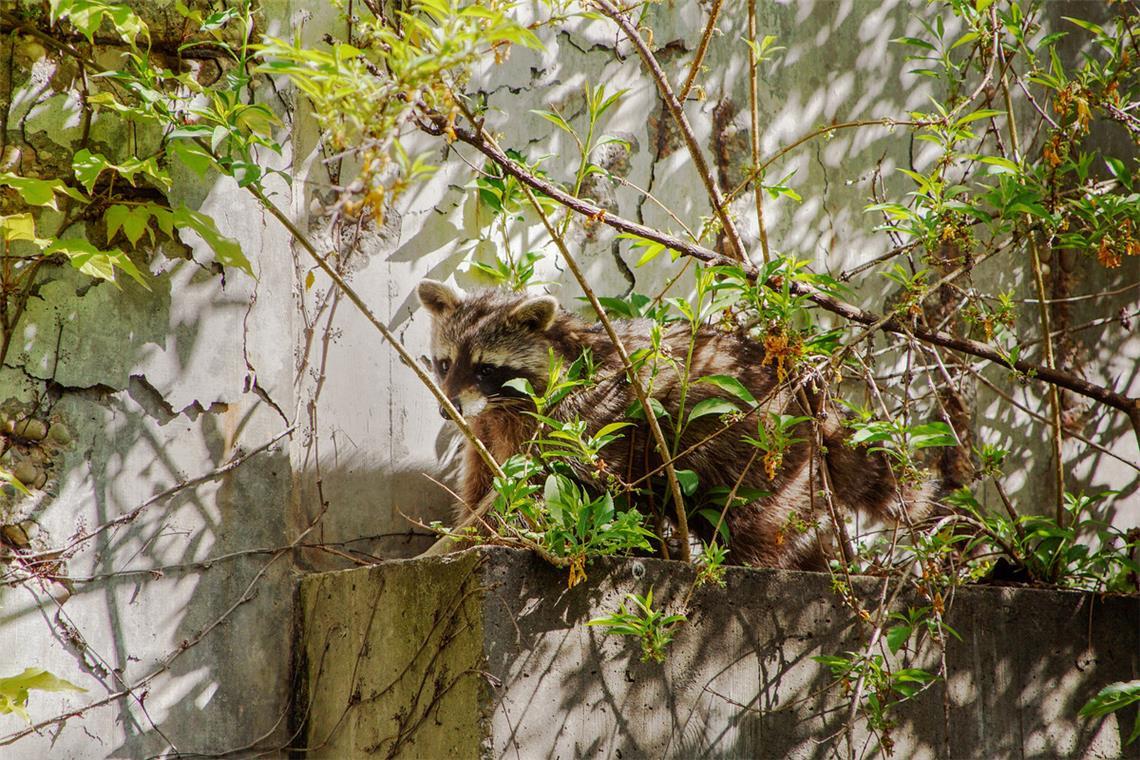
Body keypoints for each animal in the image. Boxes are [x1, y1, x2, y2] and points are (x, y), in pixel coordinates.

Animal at [414, 281, 930, 569]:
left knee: (756, 519)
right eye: (444, 364)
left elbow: (532, 488)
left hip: (758, 445)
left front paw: (461, 543)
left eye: (485, 368)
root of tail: (803, 389)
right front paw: (462, 531)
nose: (446, 409)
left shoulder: (575, 419)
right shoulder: (486, 428)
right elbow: (486, 482)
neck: (500, 404)